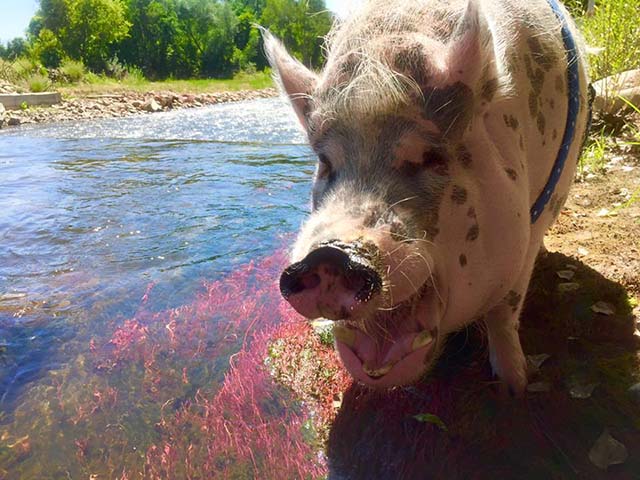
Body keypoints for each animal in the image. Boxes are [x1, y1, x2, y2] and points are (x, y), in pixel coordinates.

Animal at [264, 0, 590, 395]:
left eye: (429, 158)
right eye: (326, 163)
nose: (329, 255)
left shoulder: (534, 221)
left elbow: (504, 309)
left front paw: (514, 385)